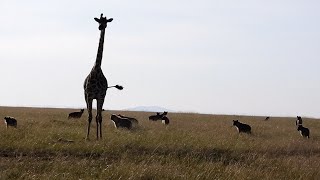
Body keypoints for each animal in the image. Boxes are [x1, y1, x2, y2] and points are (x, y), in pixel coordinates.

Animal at [84, 13, 120, 141]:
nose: (100, 27)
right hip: (87, 97)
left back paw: (98, 136)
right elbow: (89, 116)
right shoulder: (89, 95)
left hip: (99, 97)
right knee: (91, 115)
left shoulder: (101, 96)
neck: (97, 69)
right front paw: (87, 137)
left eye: (106, 22)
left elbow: (99, 117)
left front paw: (100, 137)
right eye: (98, 21)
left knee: (97, 115)